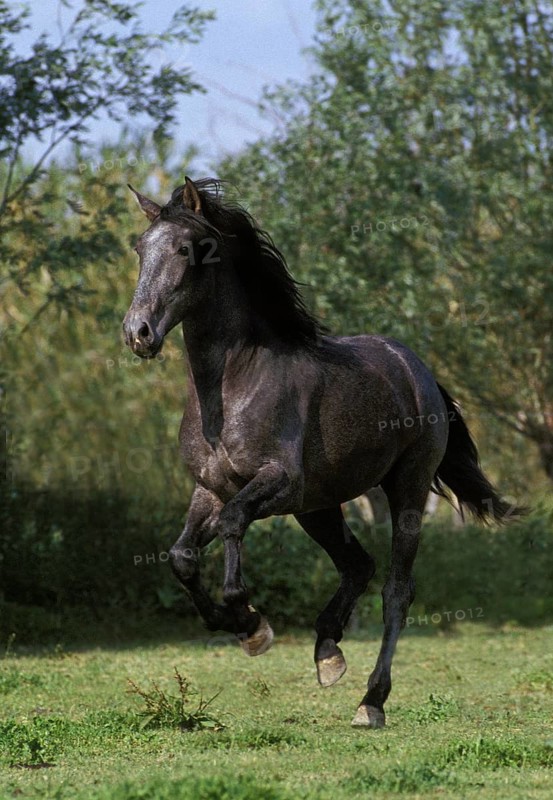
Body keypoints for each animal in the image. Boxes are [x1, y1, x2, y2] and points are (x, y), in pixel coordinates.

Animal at [123, 176, 520, 728]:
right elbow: (182, 556)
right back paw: (328, 654)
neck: (232, 385)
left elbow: (233, 523)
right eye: (141, 248)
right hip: (319, 507)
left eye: (185, 248)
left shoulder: (277, 481)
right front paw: (246, 629)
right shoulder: (210, 488)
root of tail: (418, 370)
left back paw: (371, 702)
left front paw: (250, 622)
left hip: (406, 488)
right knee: (358, 566)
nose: (137, 333)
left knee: (396, 590)